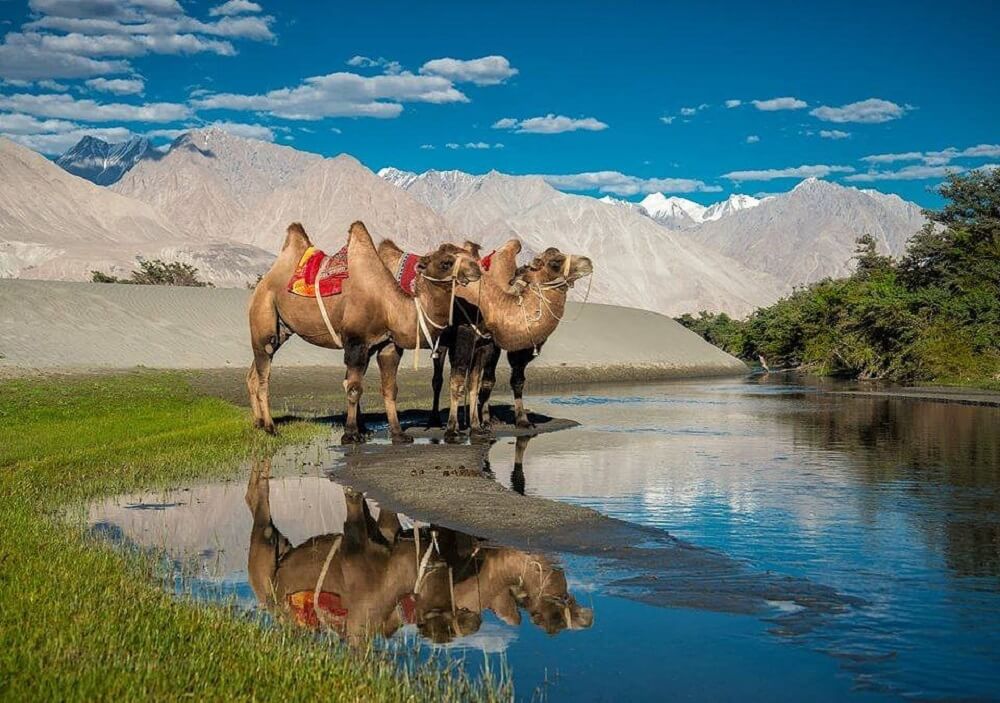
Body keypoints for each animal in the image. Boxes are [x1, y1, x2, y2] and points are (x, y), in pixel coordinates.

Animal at [247, 221, 480, 443]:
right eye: (446, 262)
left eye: (466, 254)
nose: (476, 269)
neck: (388, 305)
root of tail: (262, 283)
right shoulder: (356, 342)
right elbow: (353, 388)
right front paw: (351, 434)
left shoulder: (387, 344)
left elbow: (390, 389)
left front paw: (398, 434)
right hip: (264, 312)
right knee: (264, 374)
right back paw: (271, 428)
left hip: (282, 330)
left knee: (254, 373)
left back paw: (258, 423)